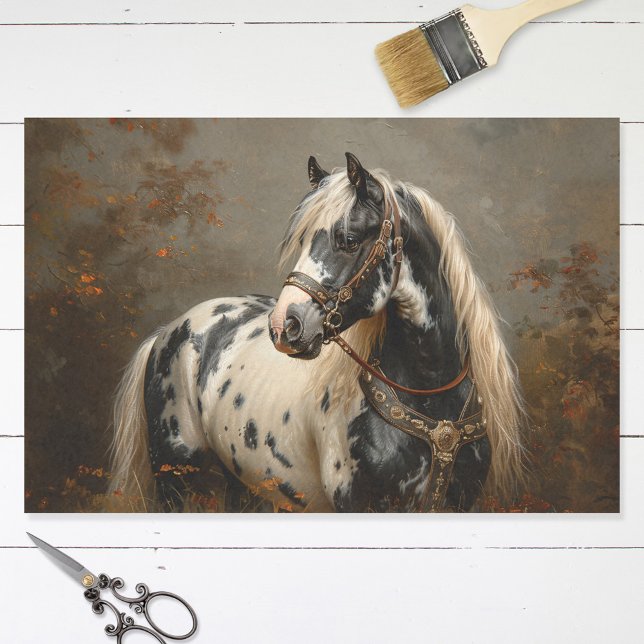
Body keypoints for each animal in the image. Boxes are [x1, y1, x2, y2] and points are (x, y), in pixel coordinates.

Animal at [108, 152, 526, 512]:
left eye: (348, 240)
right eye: (303, 239)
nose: (285, 326)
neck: (432, 402)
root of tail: (166, 332)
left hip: (243, 483)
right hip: (174, 477)